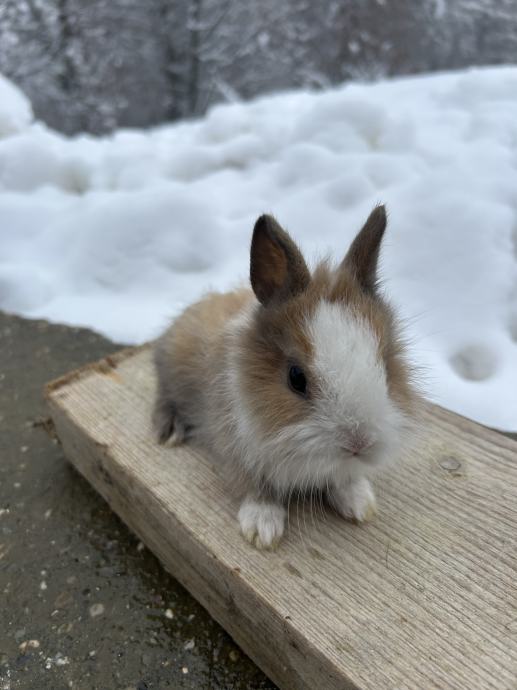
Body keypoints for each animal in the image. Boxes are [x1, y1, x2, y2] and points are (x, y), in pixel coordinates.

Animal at [153, 205, 418, 549]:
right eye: (296, 378)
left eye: (385, 366)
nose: (359, 443)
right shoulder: (235, 445)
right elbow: (255, 486)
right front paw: (263, 529)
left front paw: (359, 503)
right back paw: (169, 429)